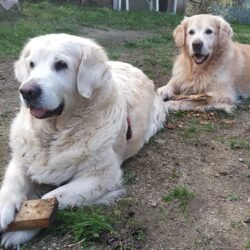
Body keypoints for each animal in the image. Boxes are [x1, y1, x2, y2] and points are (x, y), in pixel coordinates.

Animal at [0, 33, 168, 248]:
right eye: (31, 64)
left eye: (61, 64)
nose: (27, 91)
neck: (55, 132)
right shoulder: (22, 159)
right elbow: (11, 185)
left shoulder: (103, 176)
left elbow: (50, 199)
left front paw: (19, 232)